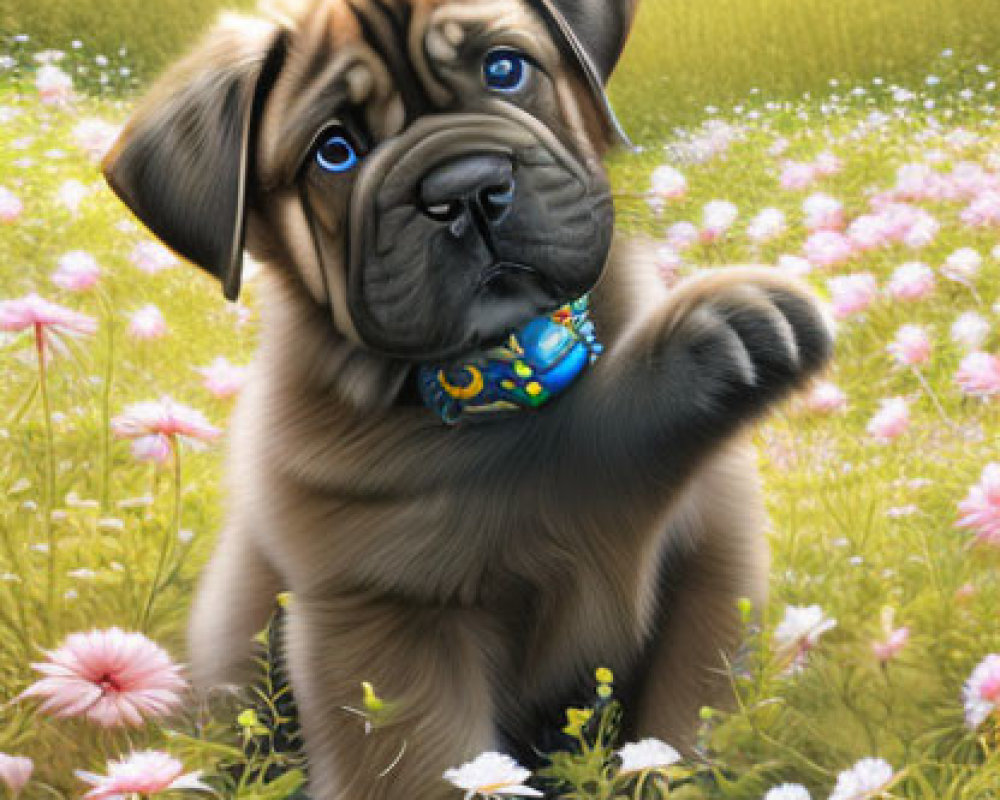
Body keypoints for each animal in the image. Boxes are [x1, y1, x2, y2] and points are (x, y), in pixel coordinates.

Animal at [103, 3, 836, 796]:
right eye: (335, 152)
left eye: (505, 69)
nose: (464, 187)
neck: (496, 373)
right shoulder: (390, 625)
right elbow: (434, 765)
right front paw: (707, 343)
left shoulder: (708, 573)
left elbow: (681, 731)